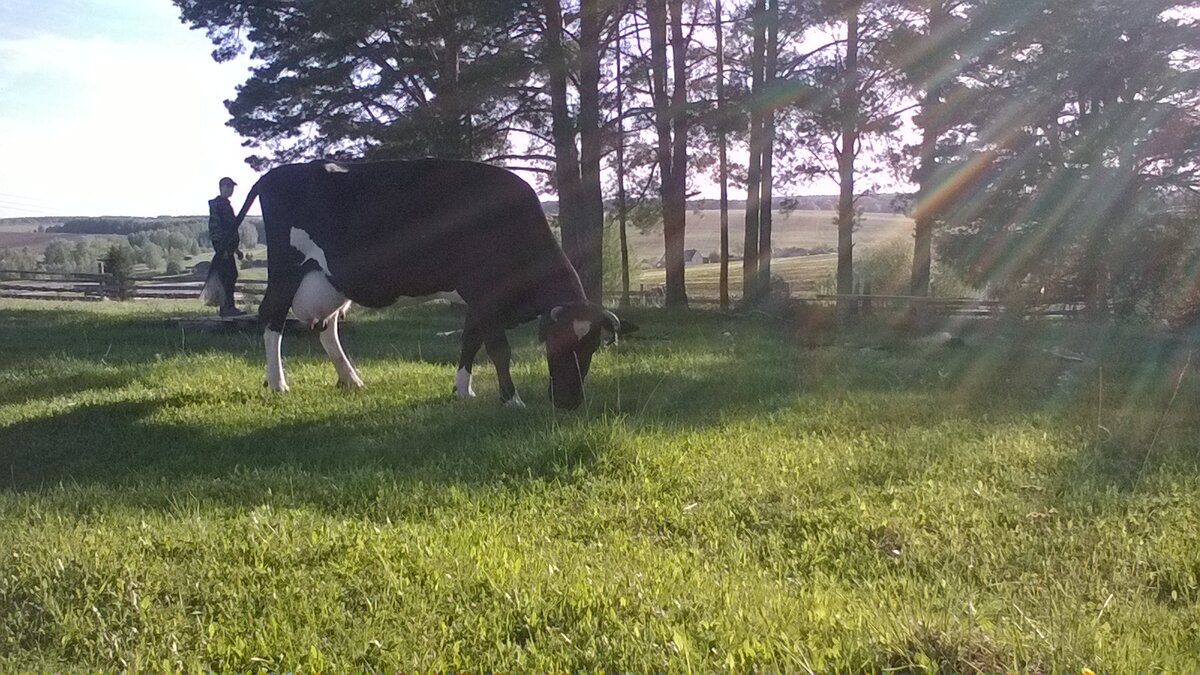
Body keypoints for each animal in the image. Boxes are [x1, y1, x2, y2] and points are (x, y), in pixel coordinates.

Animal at [235, 158, 628, 410]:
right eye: (555, 344)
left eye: (592, 347)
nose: (569, 402)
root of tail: (276, 173)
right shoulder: (484, 293)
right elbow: (498, 348)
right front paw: (512, 399)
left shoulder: (477, 299)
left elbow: (470, 342)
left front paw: (462, 391)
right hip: (286, 270)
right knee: (272, 319)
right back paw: (278, 383)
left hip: (329, 282)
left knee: (326, 327)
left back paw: (351, 379)